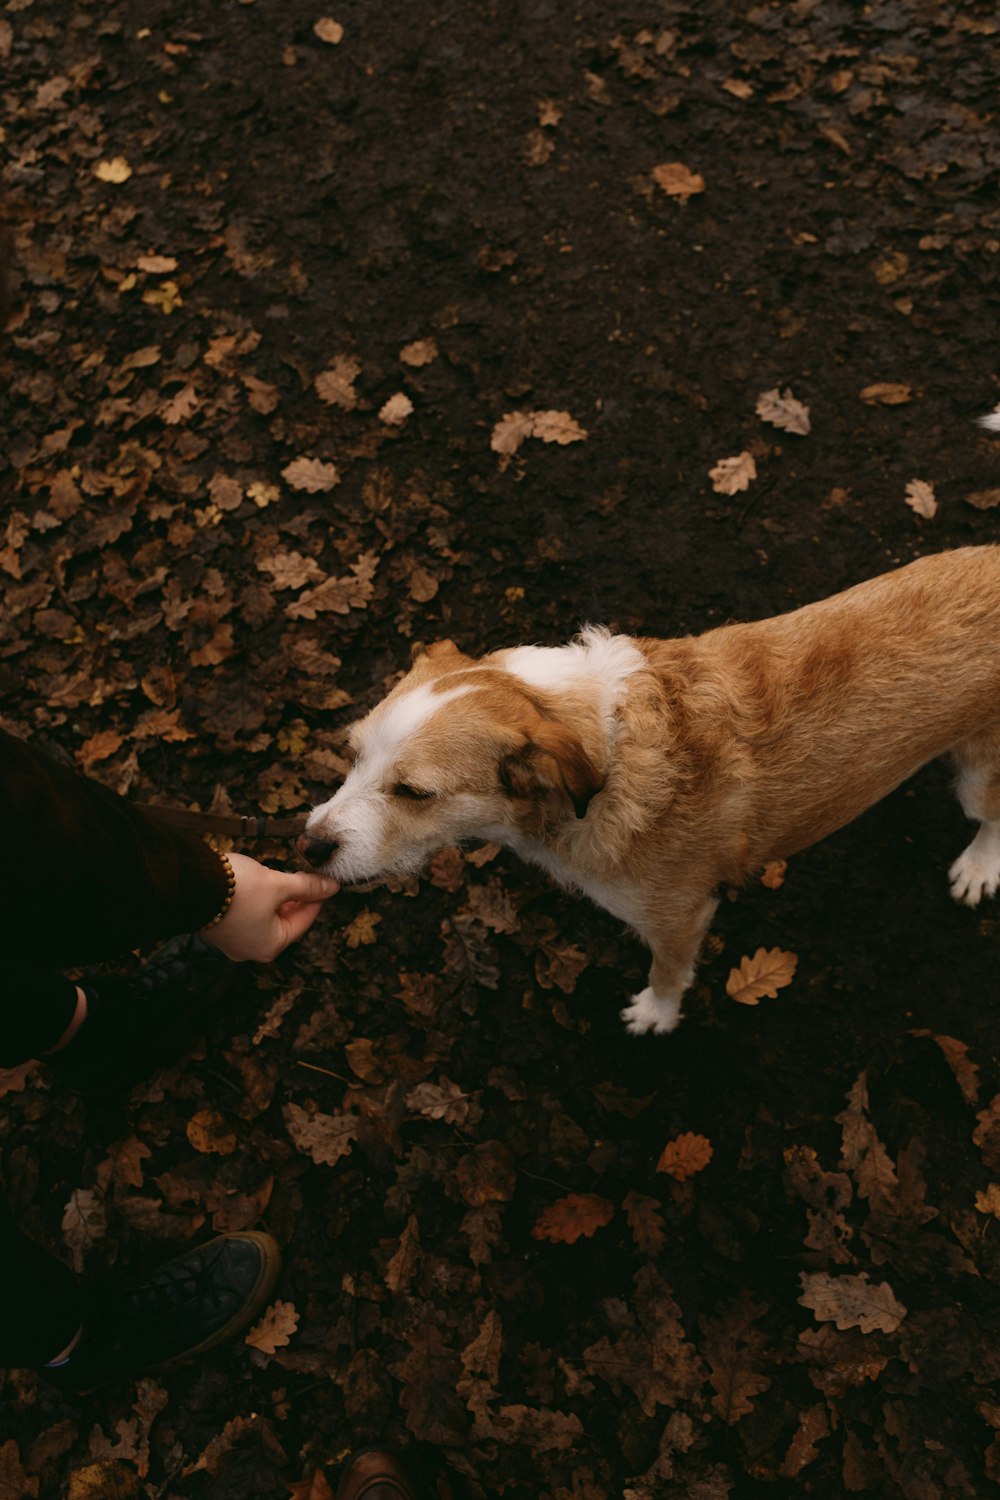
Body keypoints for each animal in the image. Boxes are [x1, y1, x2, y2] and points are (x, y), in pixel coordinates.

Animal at [301, 549, 1000, 1032]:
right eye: (353, 753)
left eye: (415, 792)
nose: (309, 848)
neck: (607, 753)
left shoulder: (679, 917)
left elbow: (668, 974)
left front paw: (655, 1015)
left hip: (979, 777)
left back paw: (977, 866)